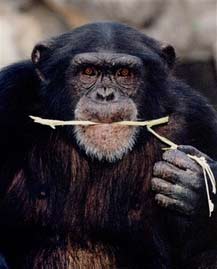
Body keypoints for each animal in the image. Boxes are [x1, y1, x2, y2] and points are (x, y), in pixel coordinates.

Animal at [0, 21, 217, 268]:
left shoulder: (198, 121)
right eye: (88, 72)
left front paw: (197, 185)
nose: (105, 95)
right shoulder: (9, 95)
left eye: (124, 73)